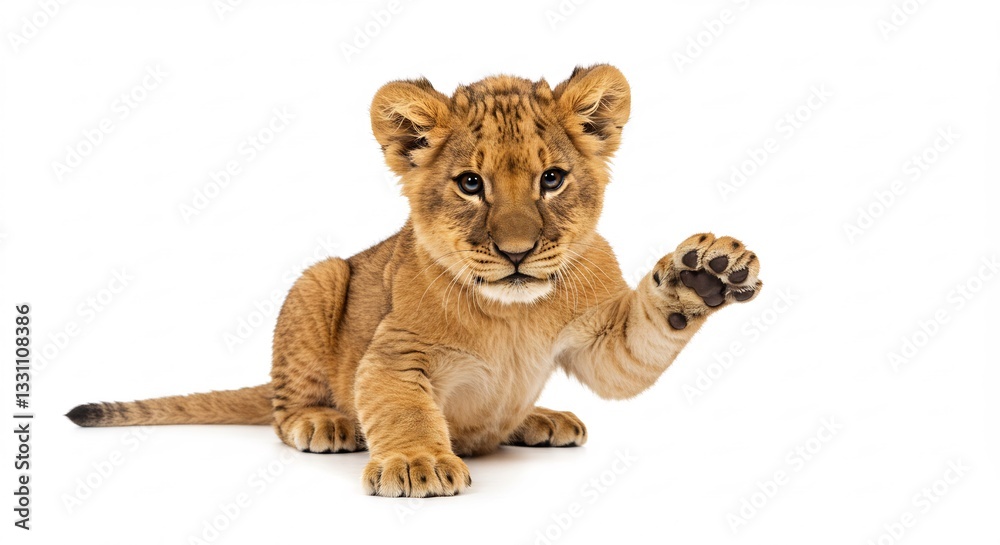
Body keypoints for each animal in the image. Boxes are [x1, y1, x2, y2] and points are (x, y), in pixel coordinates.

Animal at [67, 64, 763, 497]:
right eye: (471, 183)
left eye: (552, 179)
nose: (516, 252)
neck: (513, 312)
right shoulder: (396, 352)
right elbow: (400, 406)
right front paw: (418, 462)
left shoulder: (599, 340)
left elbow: (636, 347)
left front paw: (707, 274)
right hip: (321, 278)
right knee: (281, 408)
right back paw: (325, 424)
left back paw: (537, 417)